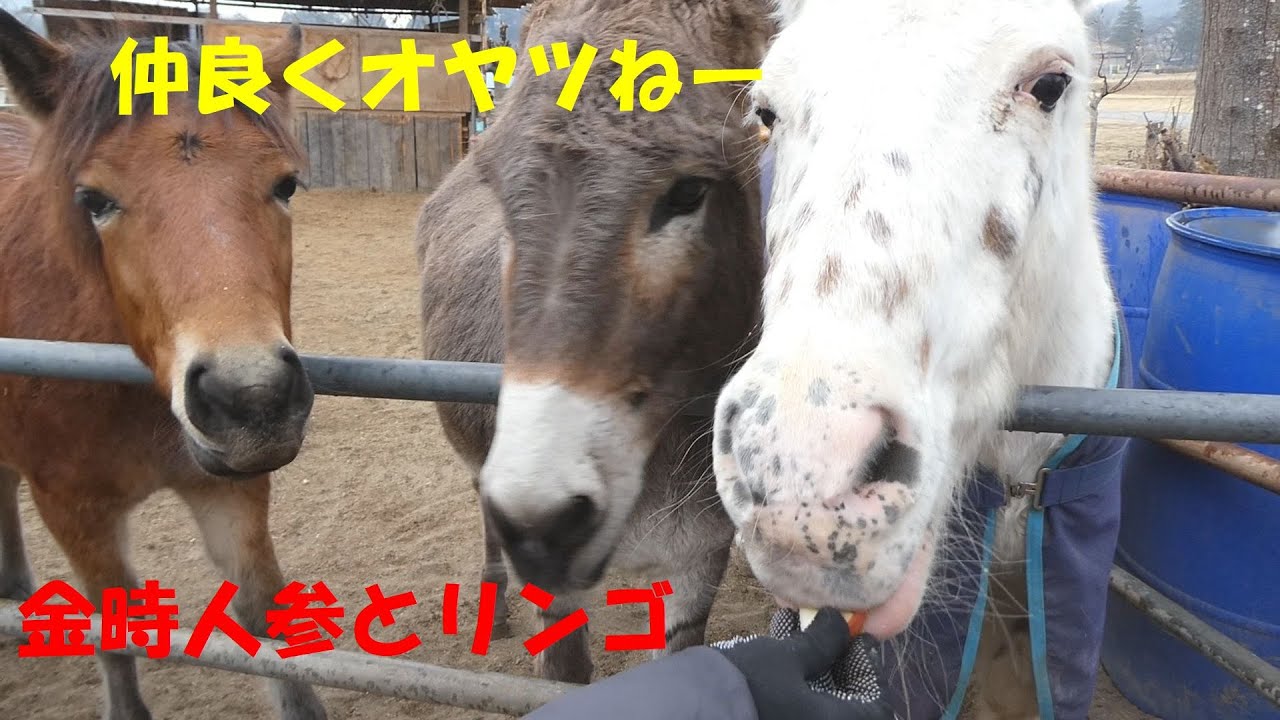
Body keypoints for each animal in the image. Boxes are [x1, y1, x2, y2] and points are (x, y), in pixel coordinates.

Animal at [0, 14, 327, 720]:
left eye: (285, 185)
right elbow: (115, 633)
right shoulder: (70, 507)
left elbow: (265, 623)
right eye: (93, 199)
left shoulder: (230, 489)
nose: (252, 397)